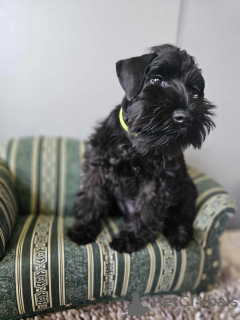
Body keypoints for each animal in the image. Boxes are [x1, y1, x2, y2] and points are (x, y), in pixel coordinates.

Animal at [68, 44, 216, 252]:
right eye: (157, 80)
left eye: (194, 91)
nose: (184, 117)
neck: (135, 143)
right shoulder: (96, 167)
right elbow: (91, 199)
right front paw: (83, 228)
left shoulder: (157, 183)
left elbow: (146, 212)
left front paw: (130, 238)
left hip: (187, 190)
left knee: (182, 217)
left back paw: (179, 235)